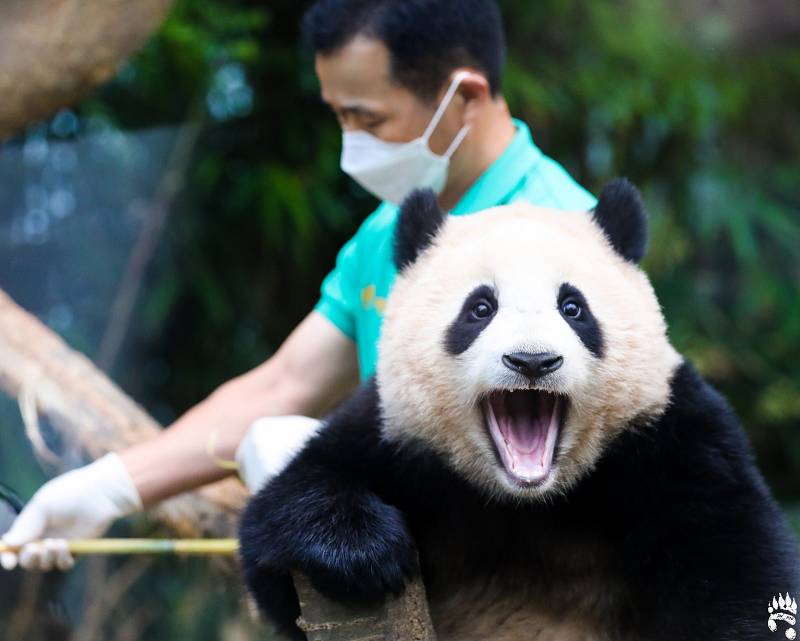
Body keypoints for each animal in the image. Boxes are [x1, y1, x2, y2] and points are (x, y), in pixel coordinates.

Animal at [238, 179, 800, 640]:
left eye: (573, 308)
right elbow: (282, 522)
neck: (526, 501)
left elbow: (737, 573)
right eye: (480, 309)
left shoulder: (672, 438)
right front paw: (364, 552)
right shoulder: (392, 433)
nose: (532, 360)